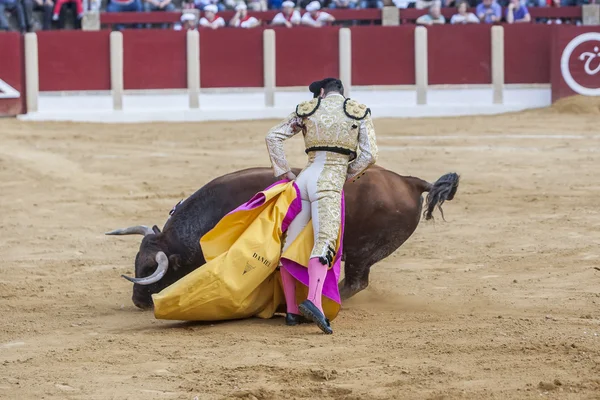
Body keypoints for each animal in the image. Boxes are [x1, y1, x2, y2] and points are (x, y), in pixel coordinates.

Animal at [106, 166, 460, 310]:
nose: (138, 302)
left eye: (150, 272)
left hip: (362, 252)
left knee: (356, 282)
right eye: (137, 263)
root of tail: (408, 181)